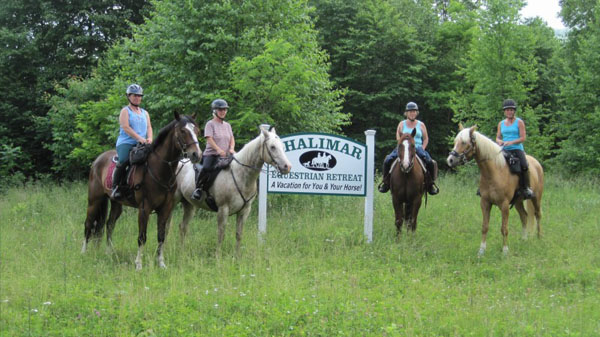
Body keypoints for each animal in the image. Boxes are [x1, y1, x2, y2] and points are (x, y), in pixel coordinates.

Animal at [81, 111, 203, 270]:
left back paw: (109, 252)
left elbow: (161, 236)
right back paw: (83, 252)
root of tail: (97, 160)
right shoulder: (144, 208)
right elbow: (142, 237)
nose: (196, 154)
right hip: (94, 200)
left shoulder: (165, 208)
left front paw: (161, 263)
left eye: (197, 131)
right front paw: (138, 264)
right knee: (88, 224)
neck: (158, 170)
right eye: (183, 131)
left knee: (109, 224)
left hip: (116, 204)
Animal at [175, 126, 292, 255]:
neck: (240, 174)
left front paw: (237, 256)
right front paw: (218, 257)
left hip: (189, 205)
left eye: (282, 146)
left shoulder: (244, 211)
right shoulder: (223, 209)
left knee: (183, 227)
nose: (287, 167)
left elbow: (239, 234)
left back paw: (182, 251)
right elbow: (221, 234)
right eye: (272, 147)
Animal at [446, 124, 544, 256]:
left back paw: (539, 238)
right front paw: (481, 251)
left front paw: (505, 251)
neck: (494, 172)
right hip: (518, 201)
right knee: (524, 216)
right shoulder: (485, 203)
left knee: (538, 215)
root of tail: (536, 163)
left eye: (464, 142)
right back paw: (524, 239)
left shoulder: (504, 205)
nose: (450, 160)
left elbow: (504, 228)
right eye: (455, 141)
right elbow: (485, 227)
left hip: (536, 197)